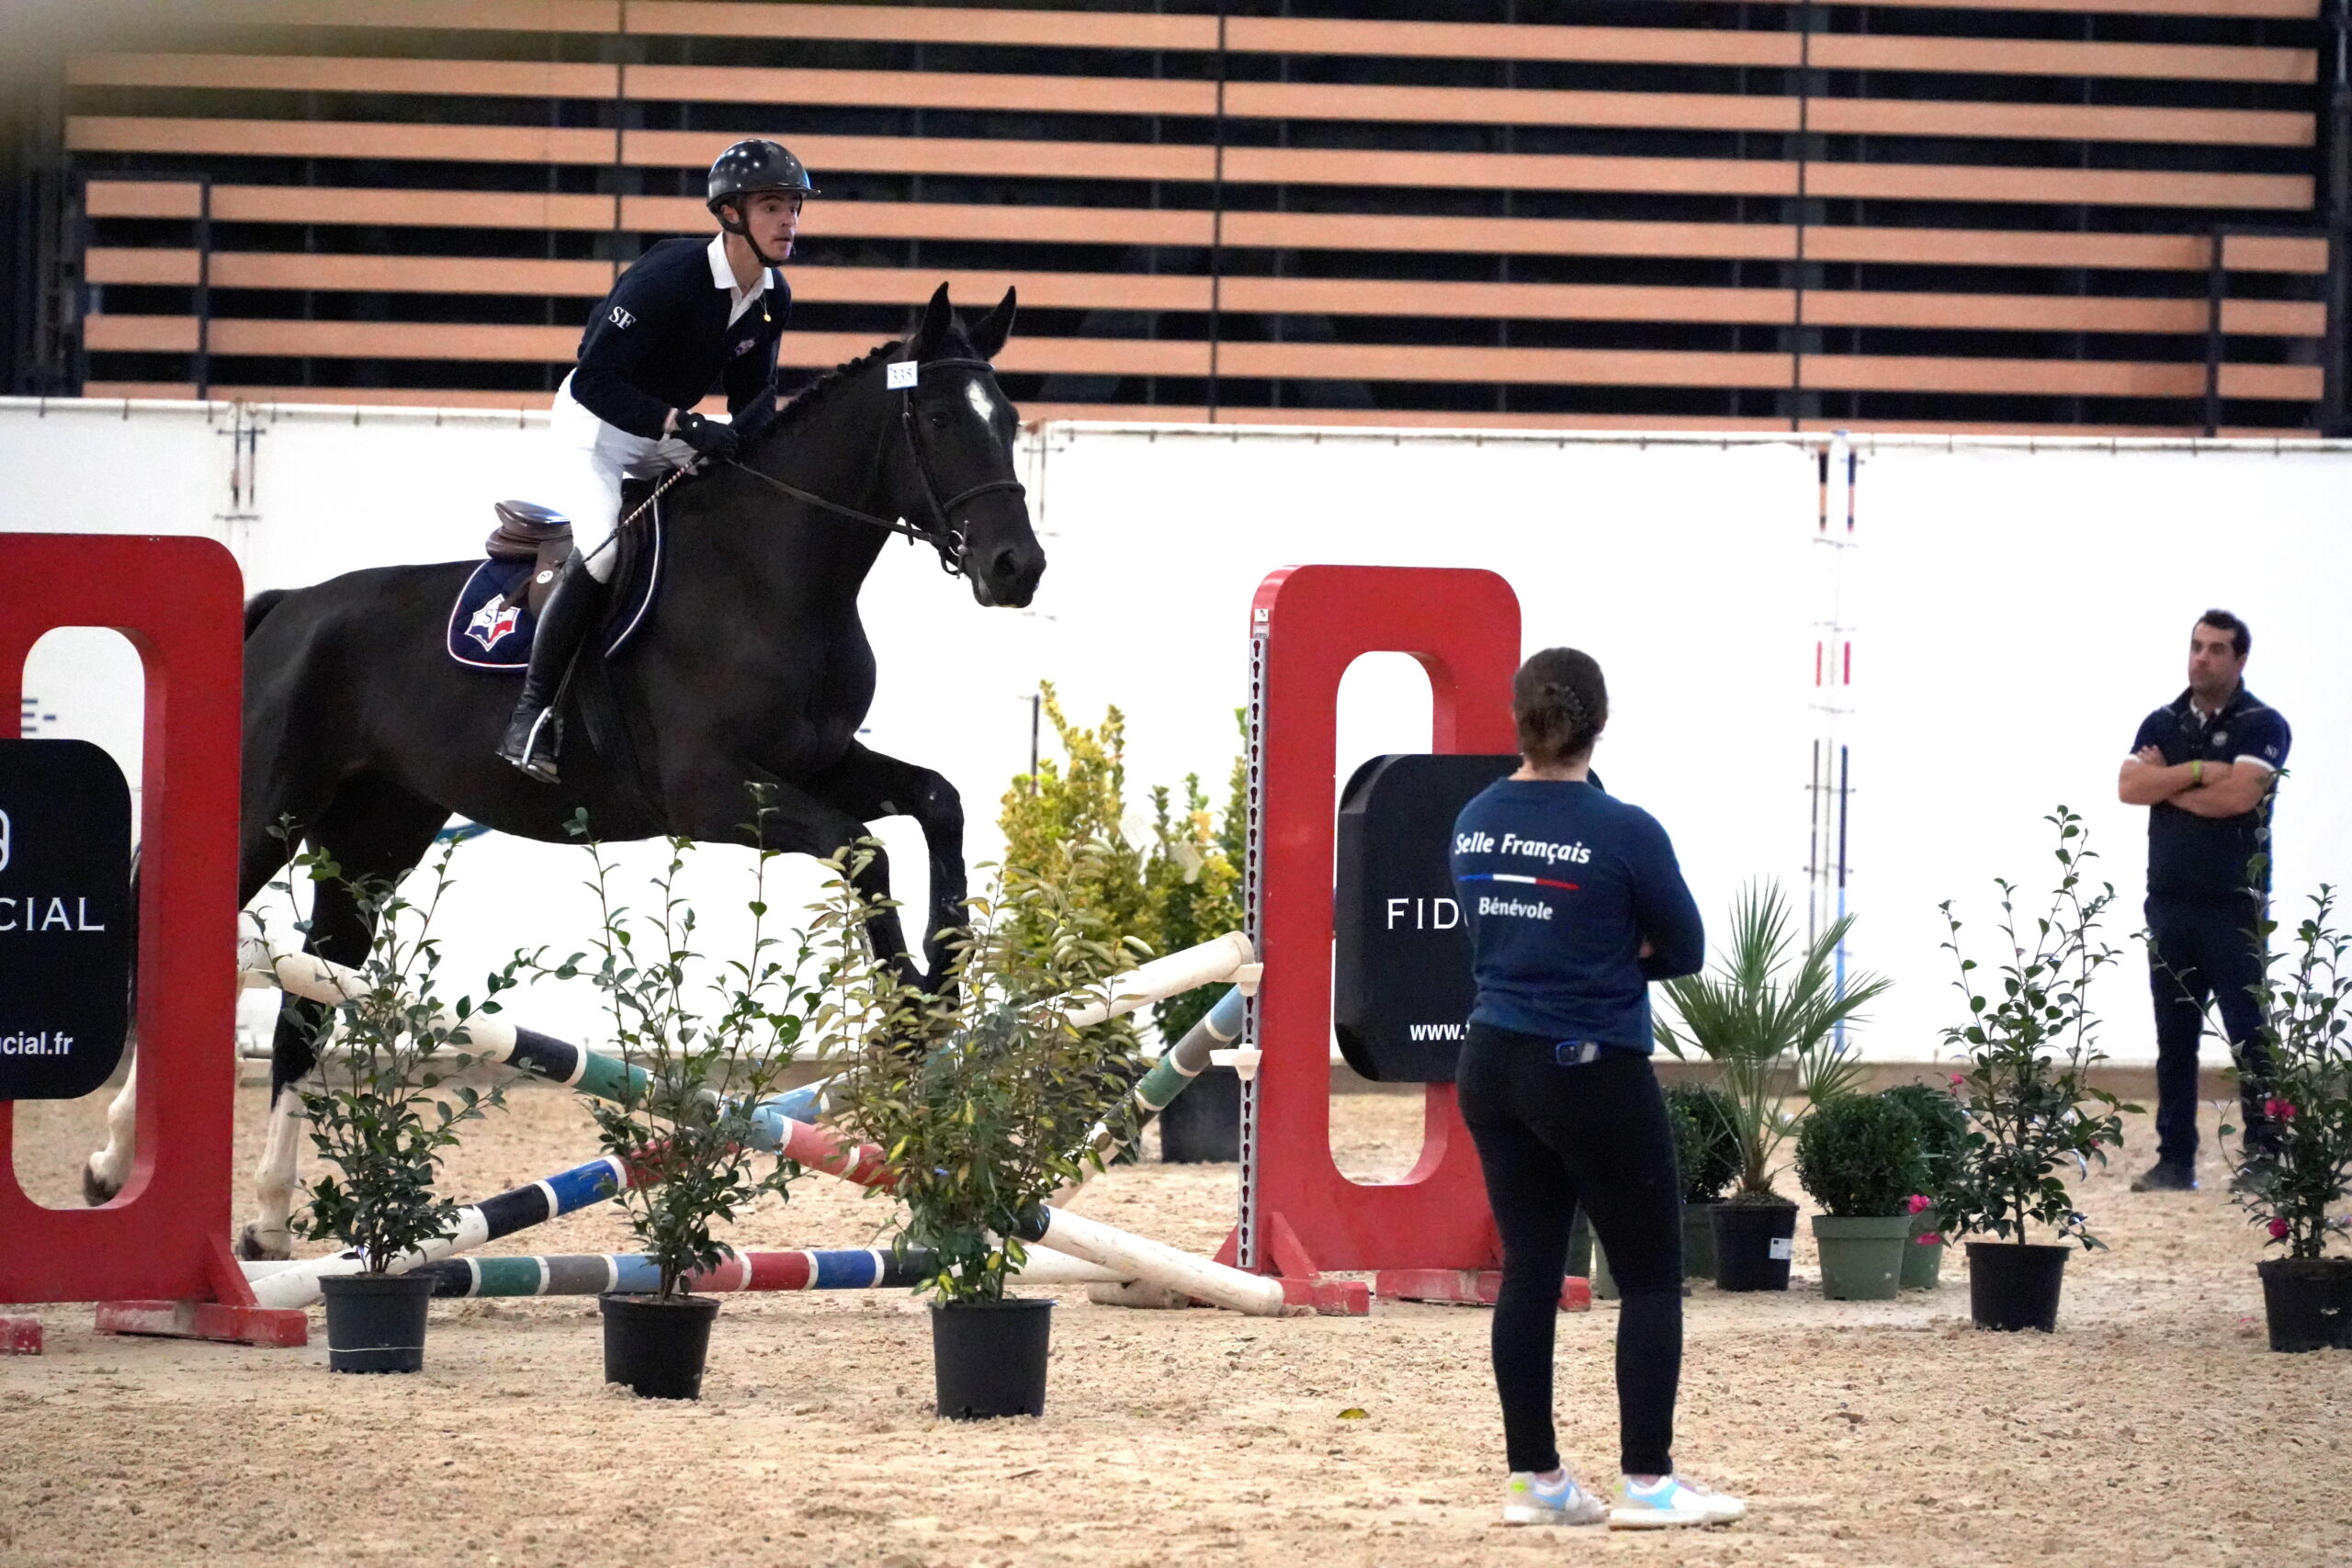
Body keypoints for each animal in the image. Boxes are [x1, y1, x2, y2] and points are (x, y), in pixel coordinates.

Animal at [81, 284, 1045, 1260]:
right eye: (936, 417)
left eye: (1007, 421)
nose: (1019, 568)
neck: (774, 572)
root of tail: (286, 610)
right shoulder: (712, 790)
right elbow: (864, 851)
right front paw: (909, 1010)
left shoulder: (824, 761)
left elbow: (939, 803)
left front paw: (942, 973)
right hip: (264, 812)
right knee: (178, 933)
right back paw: (115, 1161)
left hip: (371, 838)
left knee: (305, 1001)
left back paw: (269, 1219)